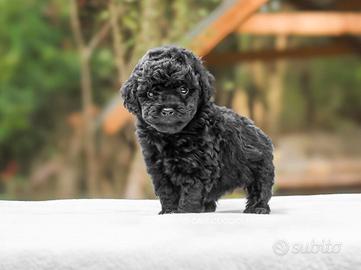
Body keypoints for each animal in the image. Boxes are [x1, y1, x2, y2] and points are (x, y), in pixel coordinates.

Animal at [120, 47, 272, 215]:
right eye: (151, 93)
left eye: (183, 89)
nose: (167, 110)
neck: (173, 136)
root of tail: (260, 132)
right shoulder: (158, 167)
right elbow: (166, 191)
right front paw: (169, 210)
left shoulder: (198, 166)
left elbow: (192, 191)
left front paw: (186, 211)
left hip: (260, 167)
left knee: (261, 188)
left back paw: (258, 208)